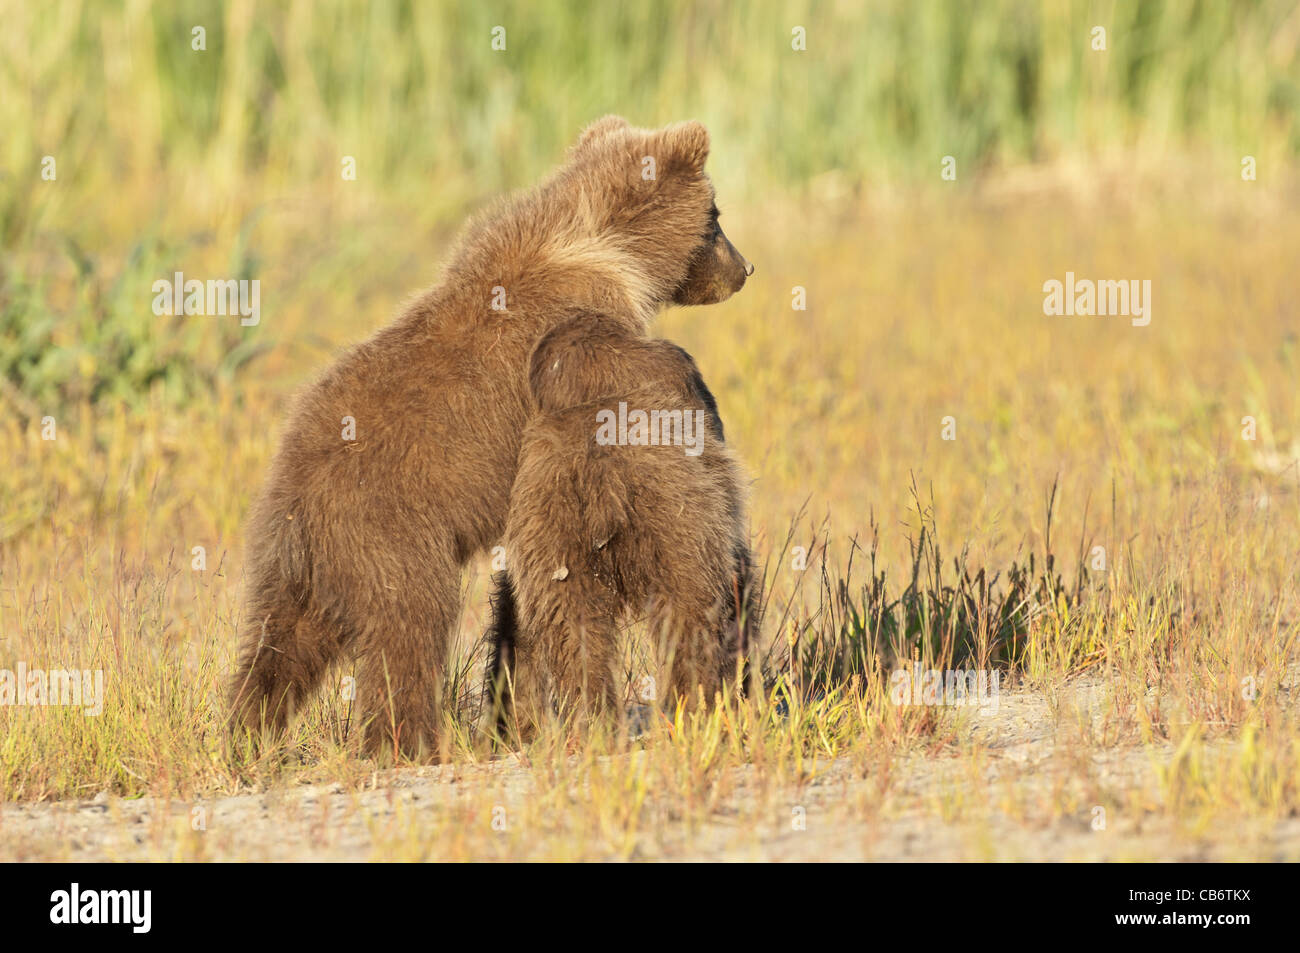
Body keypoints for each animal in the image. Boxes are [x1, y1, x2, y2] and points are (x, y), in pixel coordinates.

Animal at [483, 310, 762, 742]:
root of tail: (605, 490)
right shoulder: (683, 380)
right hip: (680, 526)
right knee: (695, 615)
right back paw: (698, 709)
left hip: (556, 538)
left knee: (574, 632)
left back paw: (591, 724)